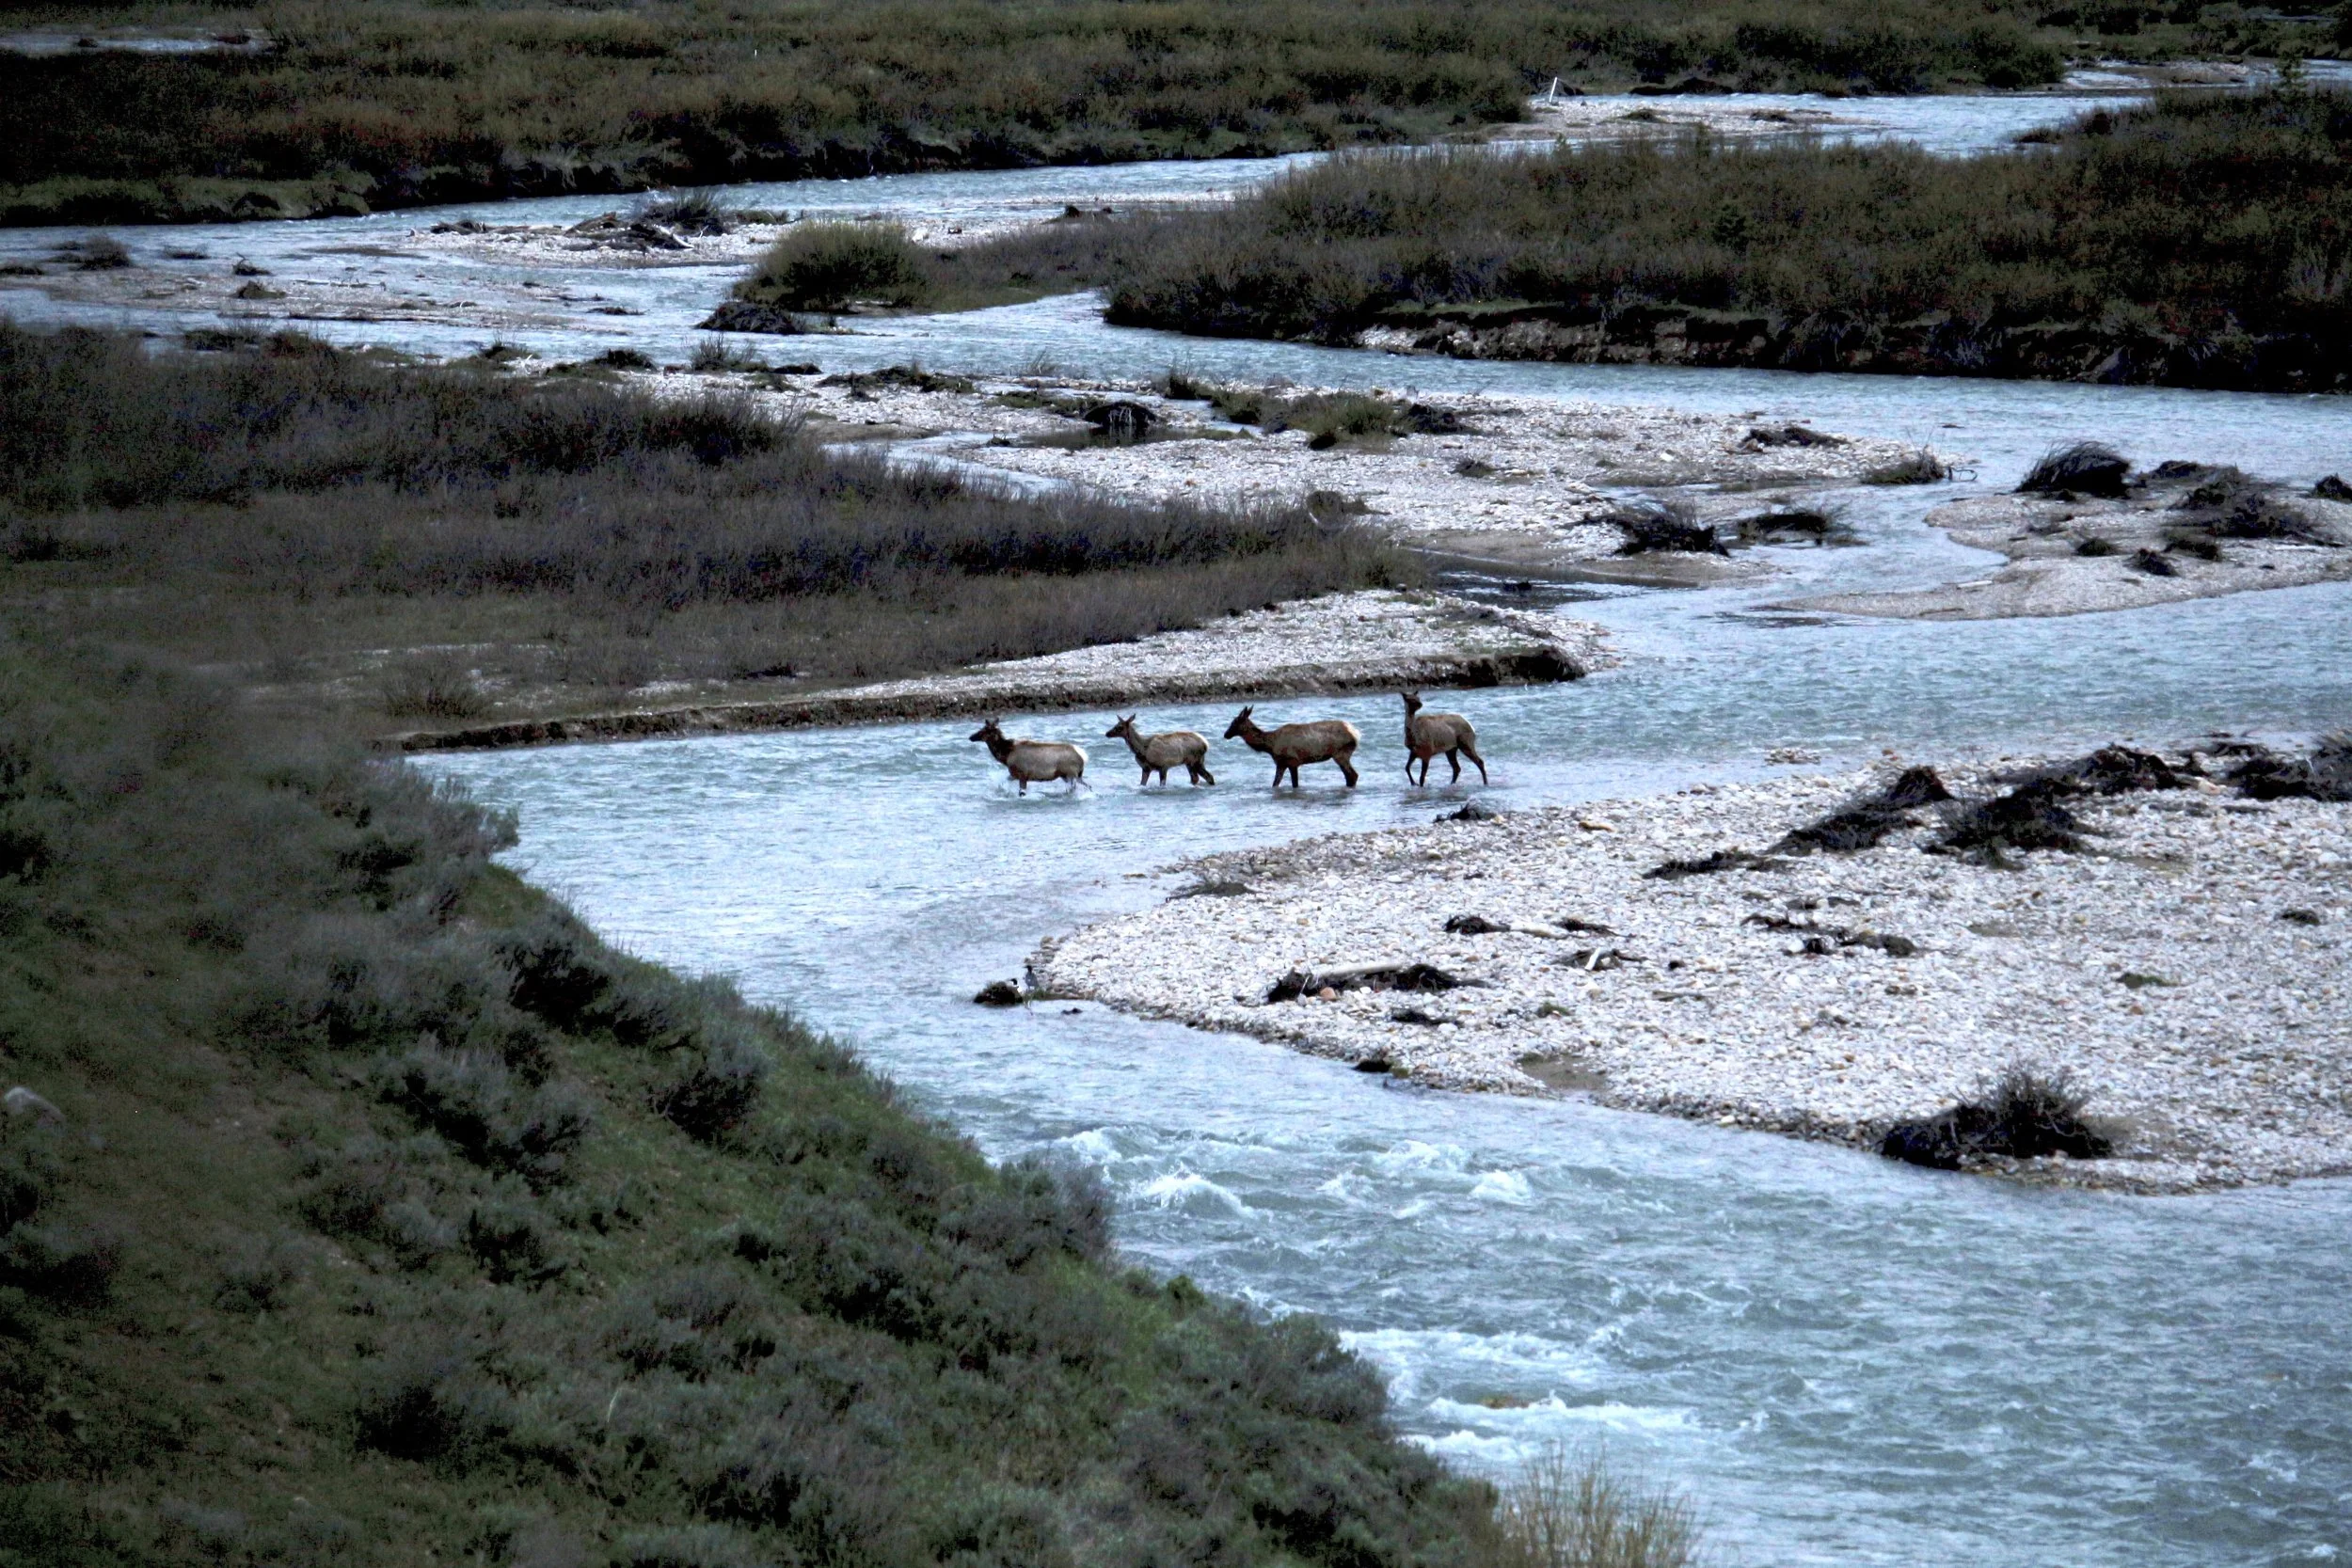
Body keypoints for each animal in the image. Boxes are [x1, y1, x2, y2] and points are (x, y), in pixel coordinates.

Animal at [1222, 706, 1360, 790]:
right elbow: (1275, 784)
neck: (1270, 746)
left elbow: (1293, 784)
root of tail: (1356, 734)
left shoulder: (1292, 761)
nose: (1225, 734)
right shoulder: (1281, 763)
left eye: (1234, 722)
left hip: (1341, 754)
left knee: (1353, 775)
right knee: (1350, 776)